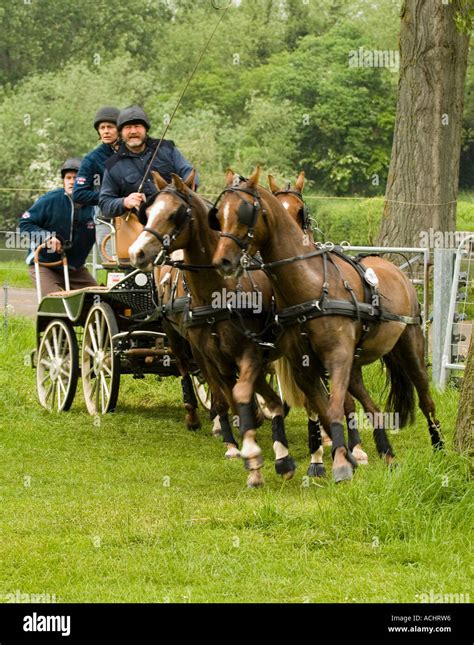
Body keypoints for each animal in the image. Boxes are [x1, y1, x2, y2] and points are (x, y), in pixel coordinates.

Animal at [128, 169, 294, 486]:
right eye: (147, 212)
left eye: (175, 214)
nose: (137, 252)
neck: (218, 291)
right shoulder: (209, 355)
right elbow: (226, 398)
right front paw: (240, 447)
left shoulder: (249, 353)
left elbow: (241, 395)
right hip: (176, 339)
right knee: (187, 371)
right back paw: (200, 419)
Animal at [213, 169, 442, 480]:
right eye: (219, 214)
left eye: (245, 211)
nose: (223, 260)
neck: (309, 286)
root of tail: (395, 269)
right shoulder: (304, 366)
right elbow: (324, 410)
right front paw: (340, 455)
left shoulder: (336, 358)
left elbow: (332, 409)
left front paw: (341, 463)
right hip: (354, 365)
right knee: (371, 406)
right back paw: (387, 453)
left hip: (409, 346)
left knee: (425, 398)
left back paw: (439, 447)